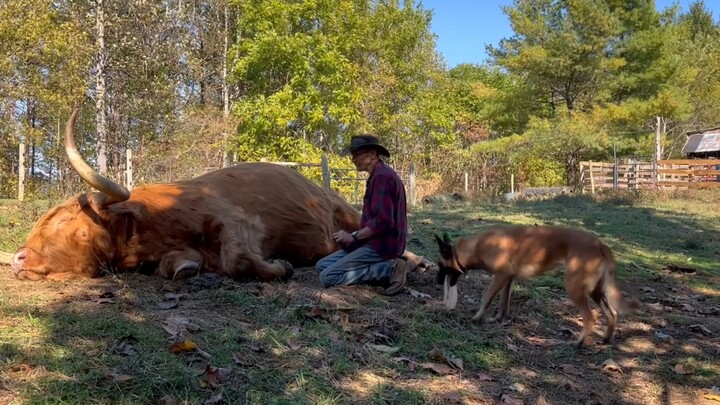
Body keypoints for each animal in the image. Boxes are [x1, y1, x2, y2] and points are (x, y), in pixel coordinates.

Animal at [434, 224, 632, 348]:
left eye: (439, 265)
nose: (437, 281)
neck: (475, 247)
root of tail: (599, 243)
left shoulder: (501, 275)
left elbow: (487, 297)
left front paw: (477, 317)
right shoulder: (507, 279)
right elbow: (503, 302)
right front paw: (498, 319)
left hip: (575, 288)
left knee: (590, 318)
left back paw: (578, 343)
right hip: (595, 292)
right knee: (612, 314)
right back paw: (606, 339)